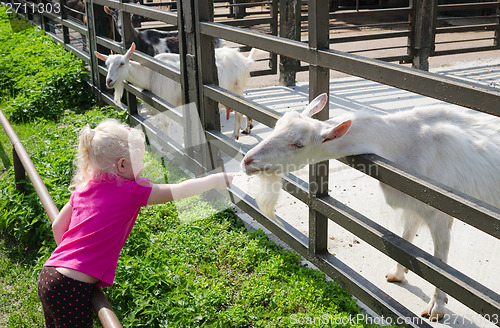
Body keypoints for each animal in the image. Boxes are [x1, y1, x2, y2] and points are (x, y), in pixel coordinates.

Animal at [95, 42, 256, 140]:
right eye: (106, 64)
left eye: (121, 63)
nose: (109, 81)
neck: (150, 74)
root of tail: (244, 60)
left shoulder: (166, 100)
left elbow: (166, 123)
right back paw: (247, 128)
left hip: (235, 90)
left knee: (240, 112)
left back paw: (235, 135)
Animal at [241, 92, 500, 320]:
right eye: (277, 126)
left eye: (298, 144)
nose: (247, 161)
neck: (404, 141)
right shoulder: (412, 203)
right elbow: (406, 240)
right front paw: (397, 273)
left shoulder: (441, 212)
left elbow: (441, 265)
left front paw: (437, 307)